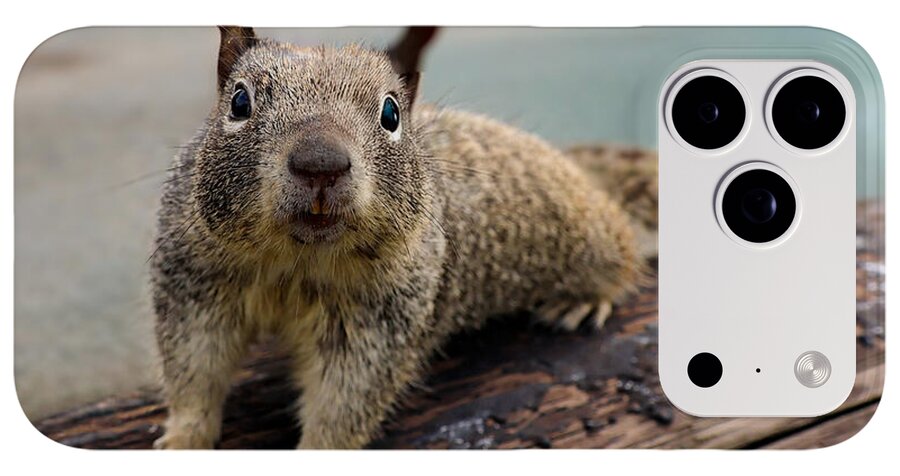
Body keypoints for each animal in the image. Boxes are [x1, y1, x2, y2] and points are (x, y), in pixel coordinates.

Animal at [151, 26, 649, 449]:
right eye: (239, 101)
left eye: (391, 113)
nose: (320, 163)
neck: (298, 261)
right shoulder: (195, 285)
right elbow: (194, 371)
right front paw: (182, 439)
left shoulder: (379, 321)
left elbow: (345, 402)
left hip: (591, 237)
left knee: (624, 251)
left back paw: (583, 300)